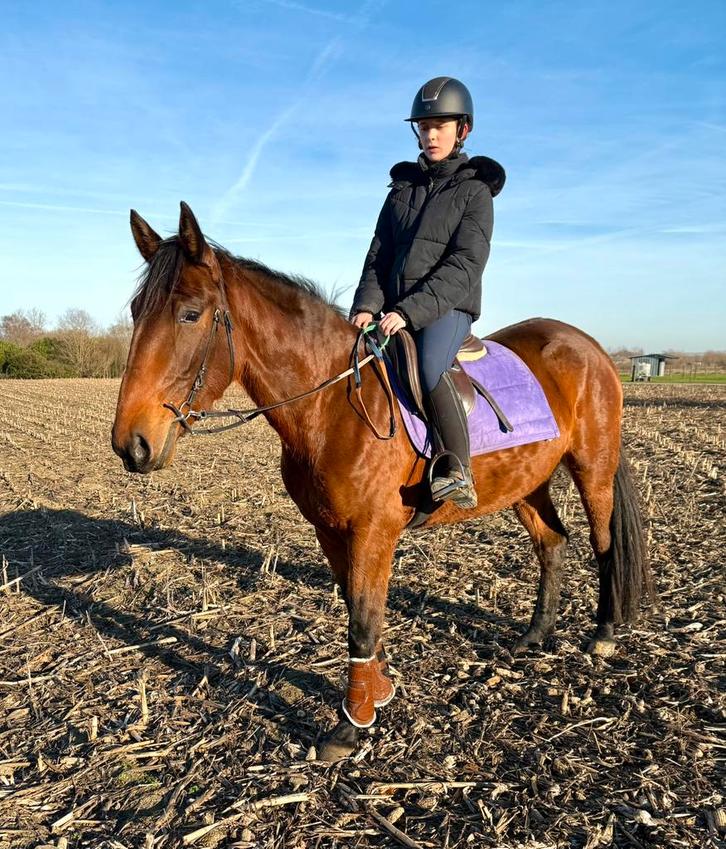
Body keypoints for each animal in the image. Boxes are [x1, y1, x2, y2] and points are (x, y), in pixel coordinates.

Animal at [112, 201, 653, 761]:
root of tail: (587, 344)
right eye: (136, 310)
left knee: (603, 543)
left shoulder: (374, 530)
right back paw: (535, 635)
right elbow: (357, 605)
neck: (332, 404)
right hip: (527, 481)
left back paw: (604, 633)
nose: (131, 443)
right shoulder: (330, 530)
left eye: (190, 314)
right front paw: (378, 691)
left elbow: (363, 620)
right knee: (552, 541)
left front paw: (351, 725)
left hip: (593, 468)